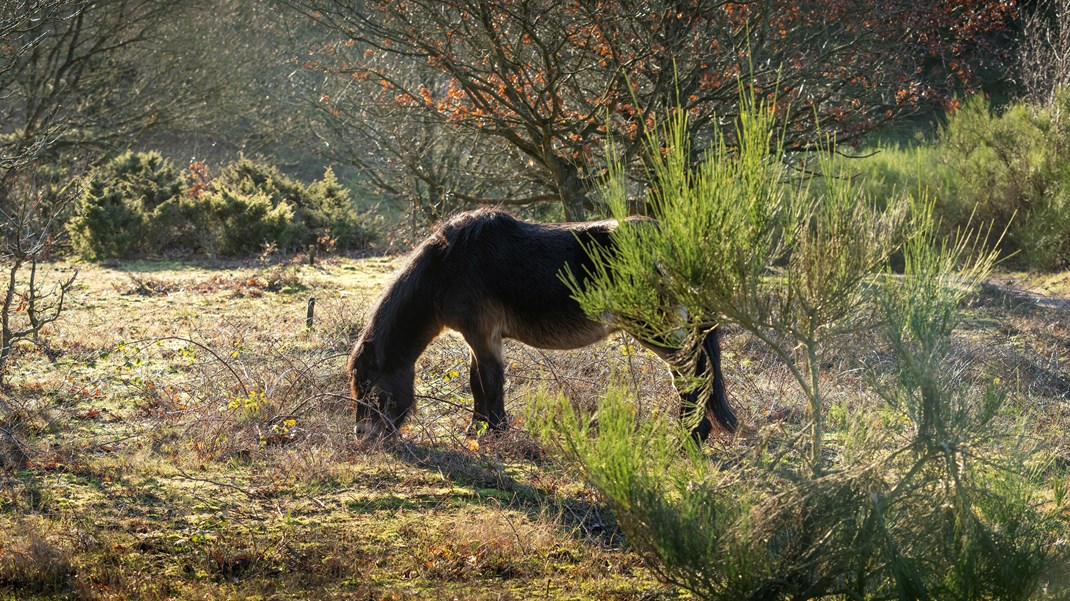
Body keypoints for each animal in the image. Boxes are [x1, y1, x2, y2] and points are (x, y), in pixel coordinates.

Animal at [348, 209, 736, 440]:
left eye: (370, 389)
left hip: (653, 328)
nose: (363, 436)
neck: (448, 264)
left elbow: (490, 384)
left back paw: (691, 435)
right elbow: (477, 384)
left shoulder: (483, 336)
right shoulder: (479, 338)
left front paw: (494, 433)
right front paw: (478, 429)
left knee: (692, 372)